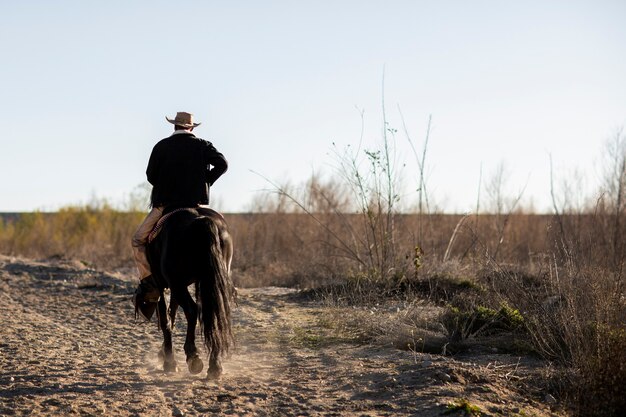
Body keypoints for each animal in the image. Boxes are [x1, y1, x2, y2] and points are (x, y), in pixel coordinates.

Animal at [145, 206, 235, 378]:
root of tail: (200, 220)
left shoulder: (163, 284)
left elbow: (166, 318)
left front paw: (169, 361)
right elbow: (172, 314)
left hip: (177, 284)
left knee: (192, 310)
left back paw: (193, 357)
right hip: (209, 280)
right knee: (213, 314)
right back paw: (215, 366)